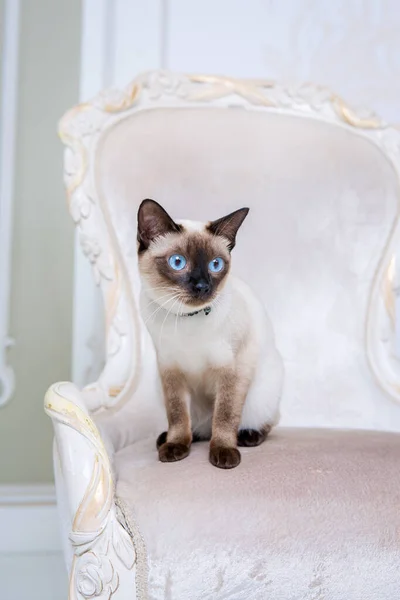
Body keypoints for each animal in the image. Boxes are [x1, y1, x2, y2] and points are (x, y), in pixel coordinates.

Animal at [138, 199, 284, 472]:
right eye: (177, 262)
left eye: (215, 265)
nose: (202, 286)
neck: (188, 319)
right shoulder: (169, 369)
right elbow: (177, 414)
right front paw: (175, 446)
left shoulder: (232, 369)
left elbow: (225, 415)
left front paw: (224, 453)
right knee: (198, 427)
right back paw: (171, 438)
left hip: (263, 390)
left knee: (264, 421)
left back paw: (248, 436)